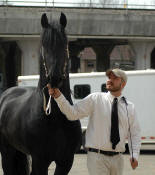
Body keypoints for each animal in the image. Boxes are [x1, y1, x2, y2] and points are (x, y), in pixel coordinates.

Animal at [0, 12, 82, 175]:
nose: (54, 78)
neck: (55, 117)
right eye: (44, 46)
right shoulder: (40, 161)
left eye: (65, 45)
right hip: (6, 152)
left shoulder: (66, 161)